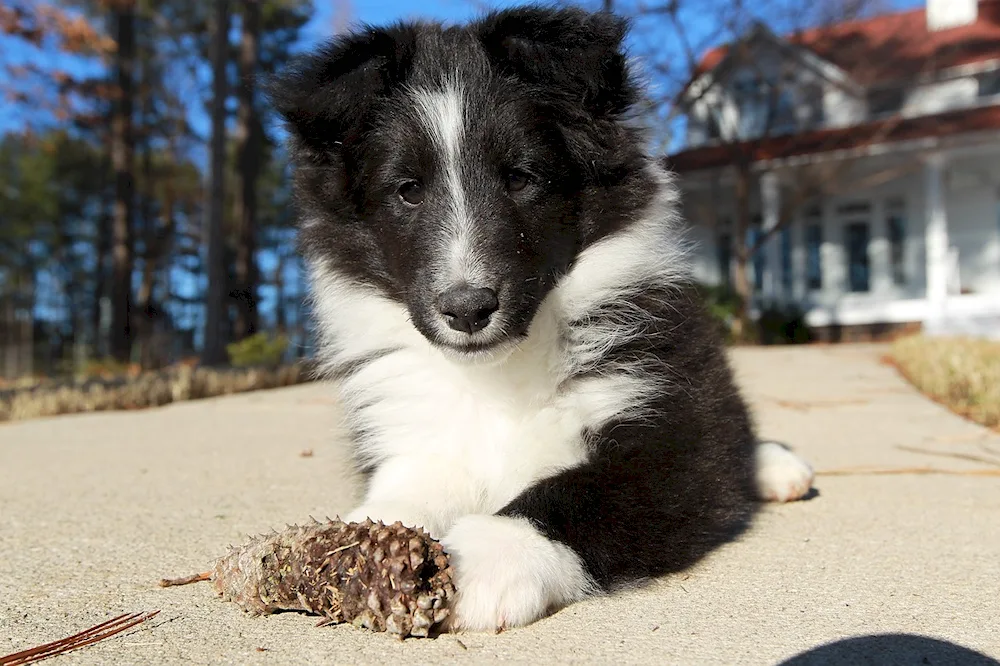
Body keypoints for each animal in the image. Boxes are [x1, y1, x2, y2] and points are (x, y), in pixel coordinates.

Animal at [266, 3, 812, 628]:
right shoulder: (422, 433)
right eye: (407, 190)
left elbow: (585, 492)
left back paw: (777, 466)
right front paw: (358, 542)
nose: (467, 309)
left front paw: (483, 556)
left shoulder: (672, 431)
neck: (497, 375)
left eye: (521, 177)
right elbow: (409, 485)